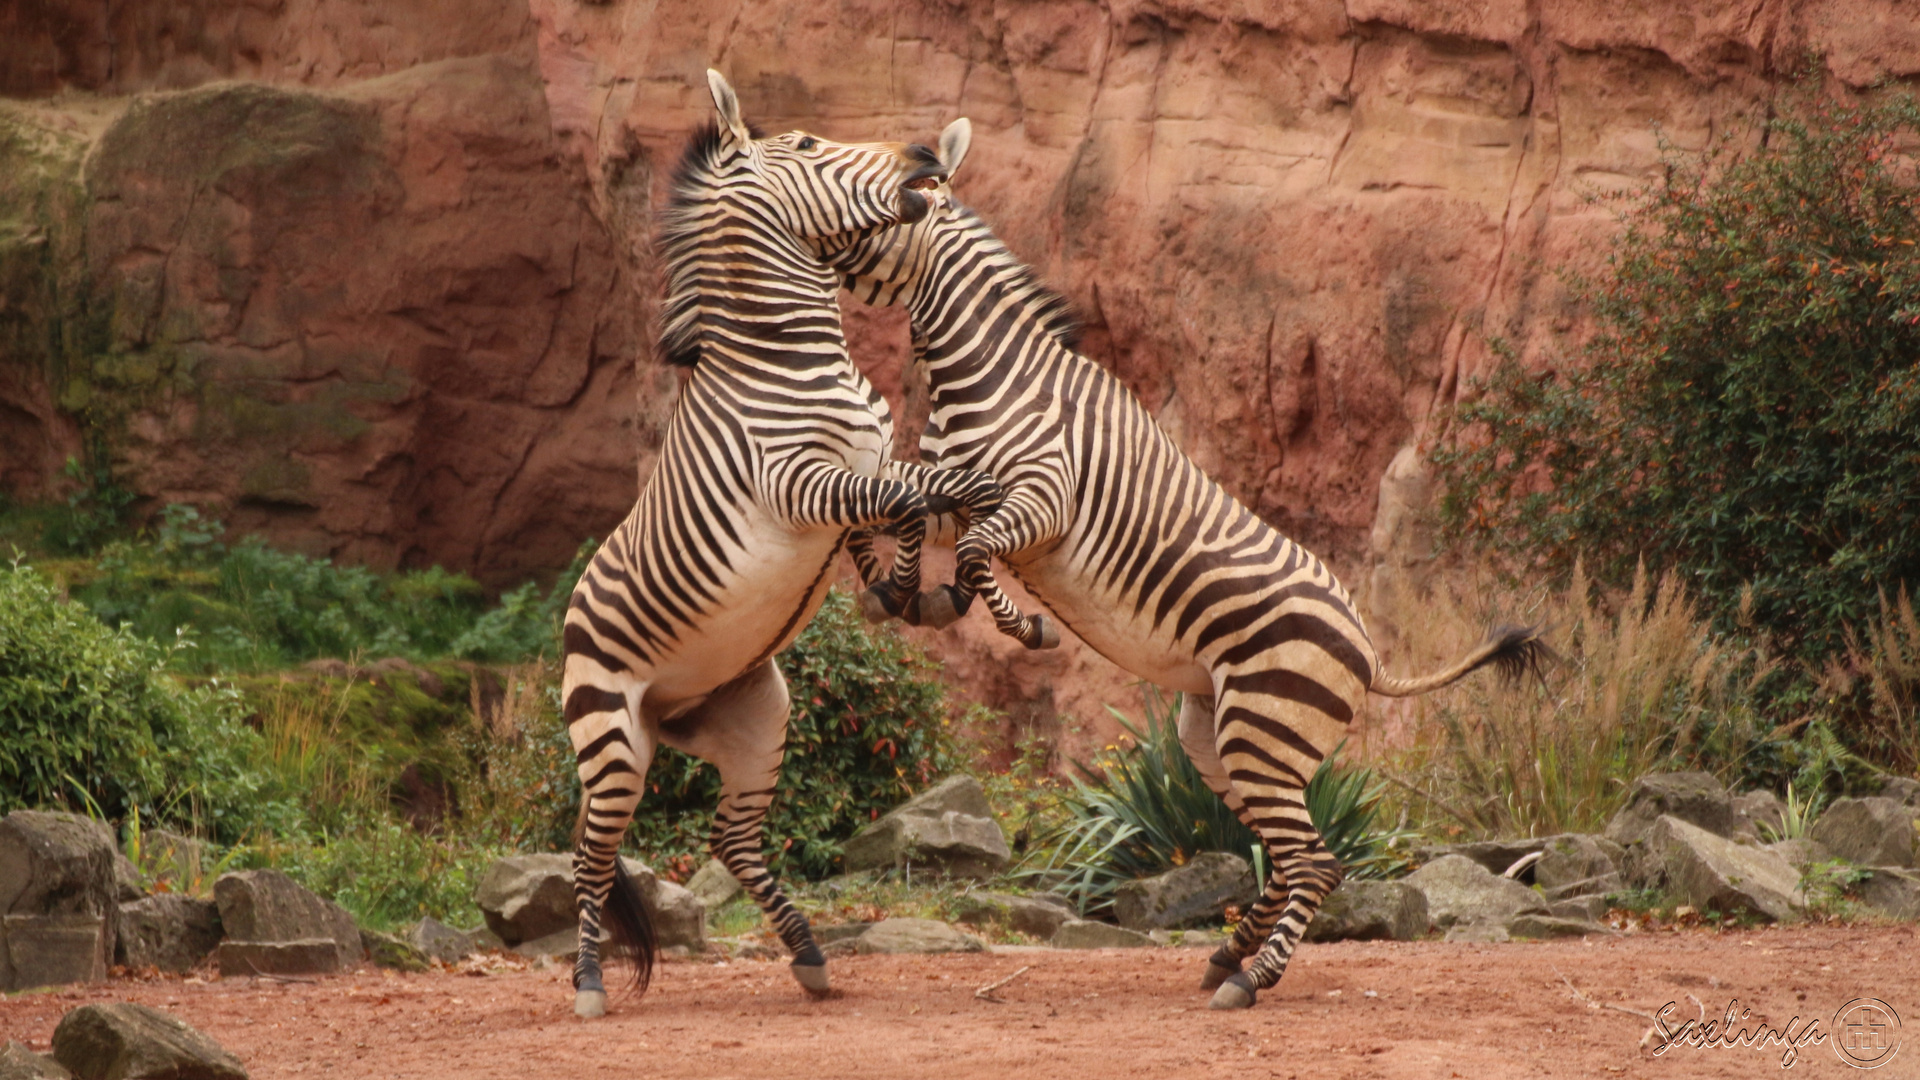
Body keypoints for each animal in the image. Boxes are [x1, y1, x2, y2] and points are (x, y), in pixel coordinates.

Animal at [560, 77, 998, 1014]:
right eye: (803, 144)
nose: (926, 156)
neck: (793, 355)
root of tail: (666, 716)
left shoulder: (868, 464)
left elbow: (916, 504)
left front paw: (917, 586)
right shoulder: (798, 483)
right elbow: (911, 503)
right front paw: (914, 588)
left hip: (757, 713)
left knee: (731, 839)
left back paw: (808, 956)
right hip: (609, 734)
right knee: (592, 854)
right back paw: (586, 983)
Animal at [817, 119, 1551, 1006]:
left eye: (885, 209)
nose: (808, 252)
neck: (982, 375)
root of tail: (1371, 651)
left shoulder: (1045, 497)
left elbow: (979, 547)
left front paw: (1020, 626)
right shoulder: (951, 486)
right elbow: (918, 522)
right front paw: (913, 596)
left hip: (1262, 729)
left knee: (1315, 860)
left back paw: (1253, 976)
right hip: (1220, 737)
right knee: (1290, 854)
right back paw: (1227, 956)